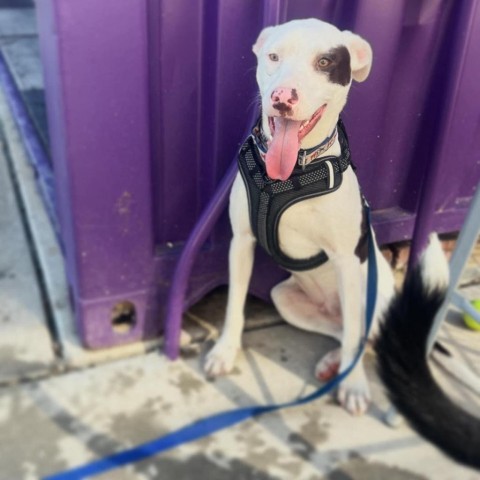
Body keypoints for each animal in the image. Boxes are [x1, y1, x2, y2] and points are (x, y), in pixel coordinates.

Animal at [204, 18, 396, 416]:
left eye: (325, 62)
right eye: (273, 56)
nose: (282, 97)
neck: (293, 174)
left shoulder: (345, 261)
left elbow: (354, 334)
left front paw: (354, 386)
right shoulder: (241, 242)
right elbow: (234, 305)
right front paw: (226, 351)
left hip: (370, 296)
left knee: (358, 333)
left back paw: (346, 370)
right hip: (286, 300)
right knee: (342, 331)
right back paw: (332, 363)